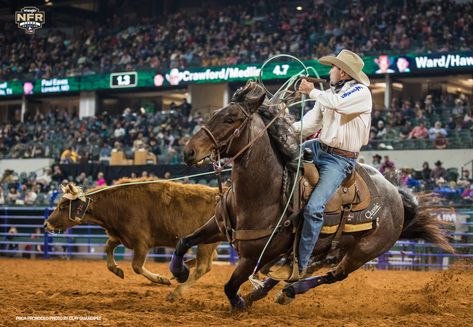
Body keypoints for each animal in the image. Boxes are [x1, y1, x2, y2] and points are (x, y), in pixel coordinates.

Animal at [171, 81, 454, 310]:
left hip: (364, 251)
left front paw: (238, 304)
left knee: (333, 275)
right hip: (332, 246)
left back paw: (287, 291)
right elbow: (184, 241)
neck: (263, 192)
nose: (189, 151)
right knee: (307, 266)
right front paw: (180, 272)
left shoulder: (254, 255)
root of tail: (396, 195)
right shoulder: (217, 227)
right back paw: (271, 290)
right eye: (214, 114)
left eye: (230, 119)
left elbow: (230, 286)